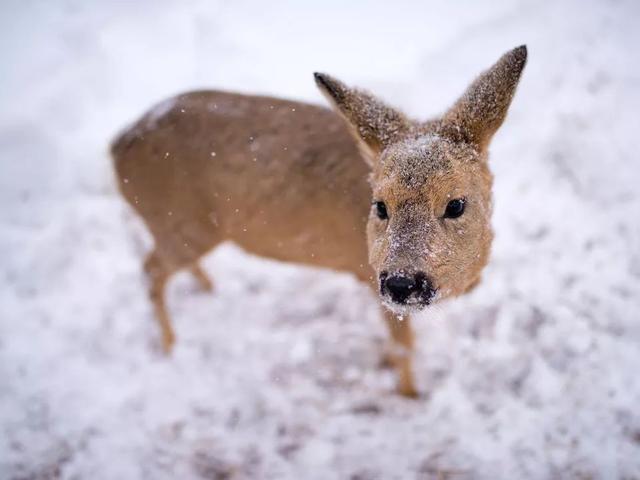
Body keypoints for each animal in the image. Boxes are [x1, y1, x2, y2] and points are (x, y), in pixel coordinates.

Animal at [112, 46, 528, 398]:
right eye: (380, 206)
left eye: (456, 204)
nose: (401, 283)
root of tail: (117, 145)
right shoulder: (370, 274)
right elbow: (404, 345)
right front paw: (410, 394)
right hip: (184, 221)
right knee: (150, 269)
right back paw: (171, 346)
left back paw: (208, 289)